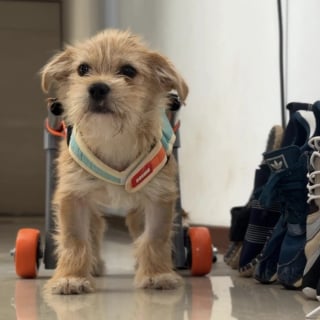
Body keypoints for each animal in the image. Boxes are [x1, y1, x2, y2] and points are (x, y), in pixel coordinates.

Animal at [41, 30, 189, 296]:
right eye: (83, 69)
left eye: (128, 70)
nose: (97, 87)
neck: (113, 137)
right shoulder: (74, 196)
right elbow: (75, 238)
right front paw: (71, 278)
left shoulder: (158, 197)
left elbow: (154, 237)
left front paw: (156, 274)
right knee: (95, 228)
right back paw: (93, 264)